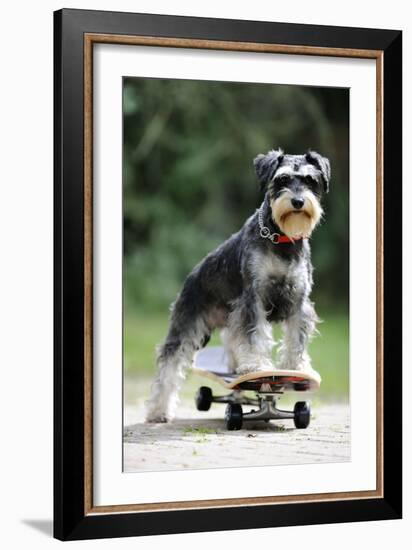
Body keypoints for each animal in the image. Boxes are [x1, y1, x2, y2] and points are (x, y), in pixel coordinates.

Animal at [145, 149, 332, 424]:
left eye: (311, 180)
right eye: (282, 180)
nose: (298, 201)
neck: (281, 238)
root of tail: (192, 274)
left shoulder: (299, 300)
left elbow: (296, 337)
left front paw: (296, 367)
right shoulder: (253, 298)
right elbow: (254, 335)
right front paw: (256, 367)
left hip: (229, 320)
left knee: (232, 341)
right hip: (186, 324)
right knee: (170, 363)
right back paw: (159, 410)